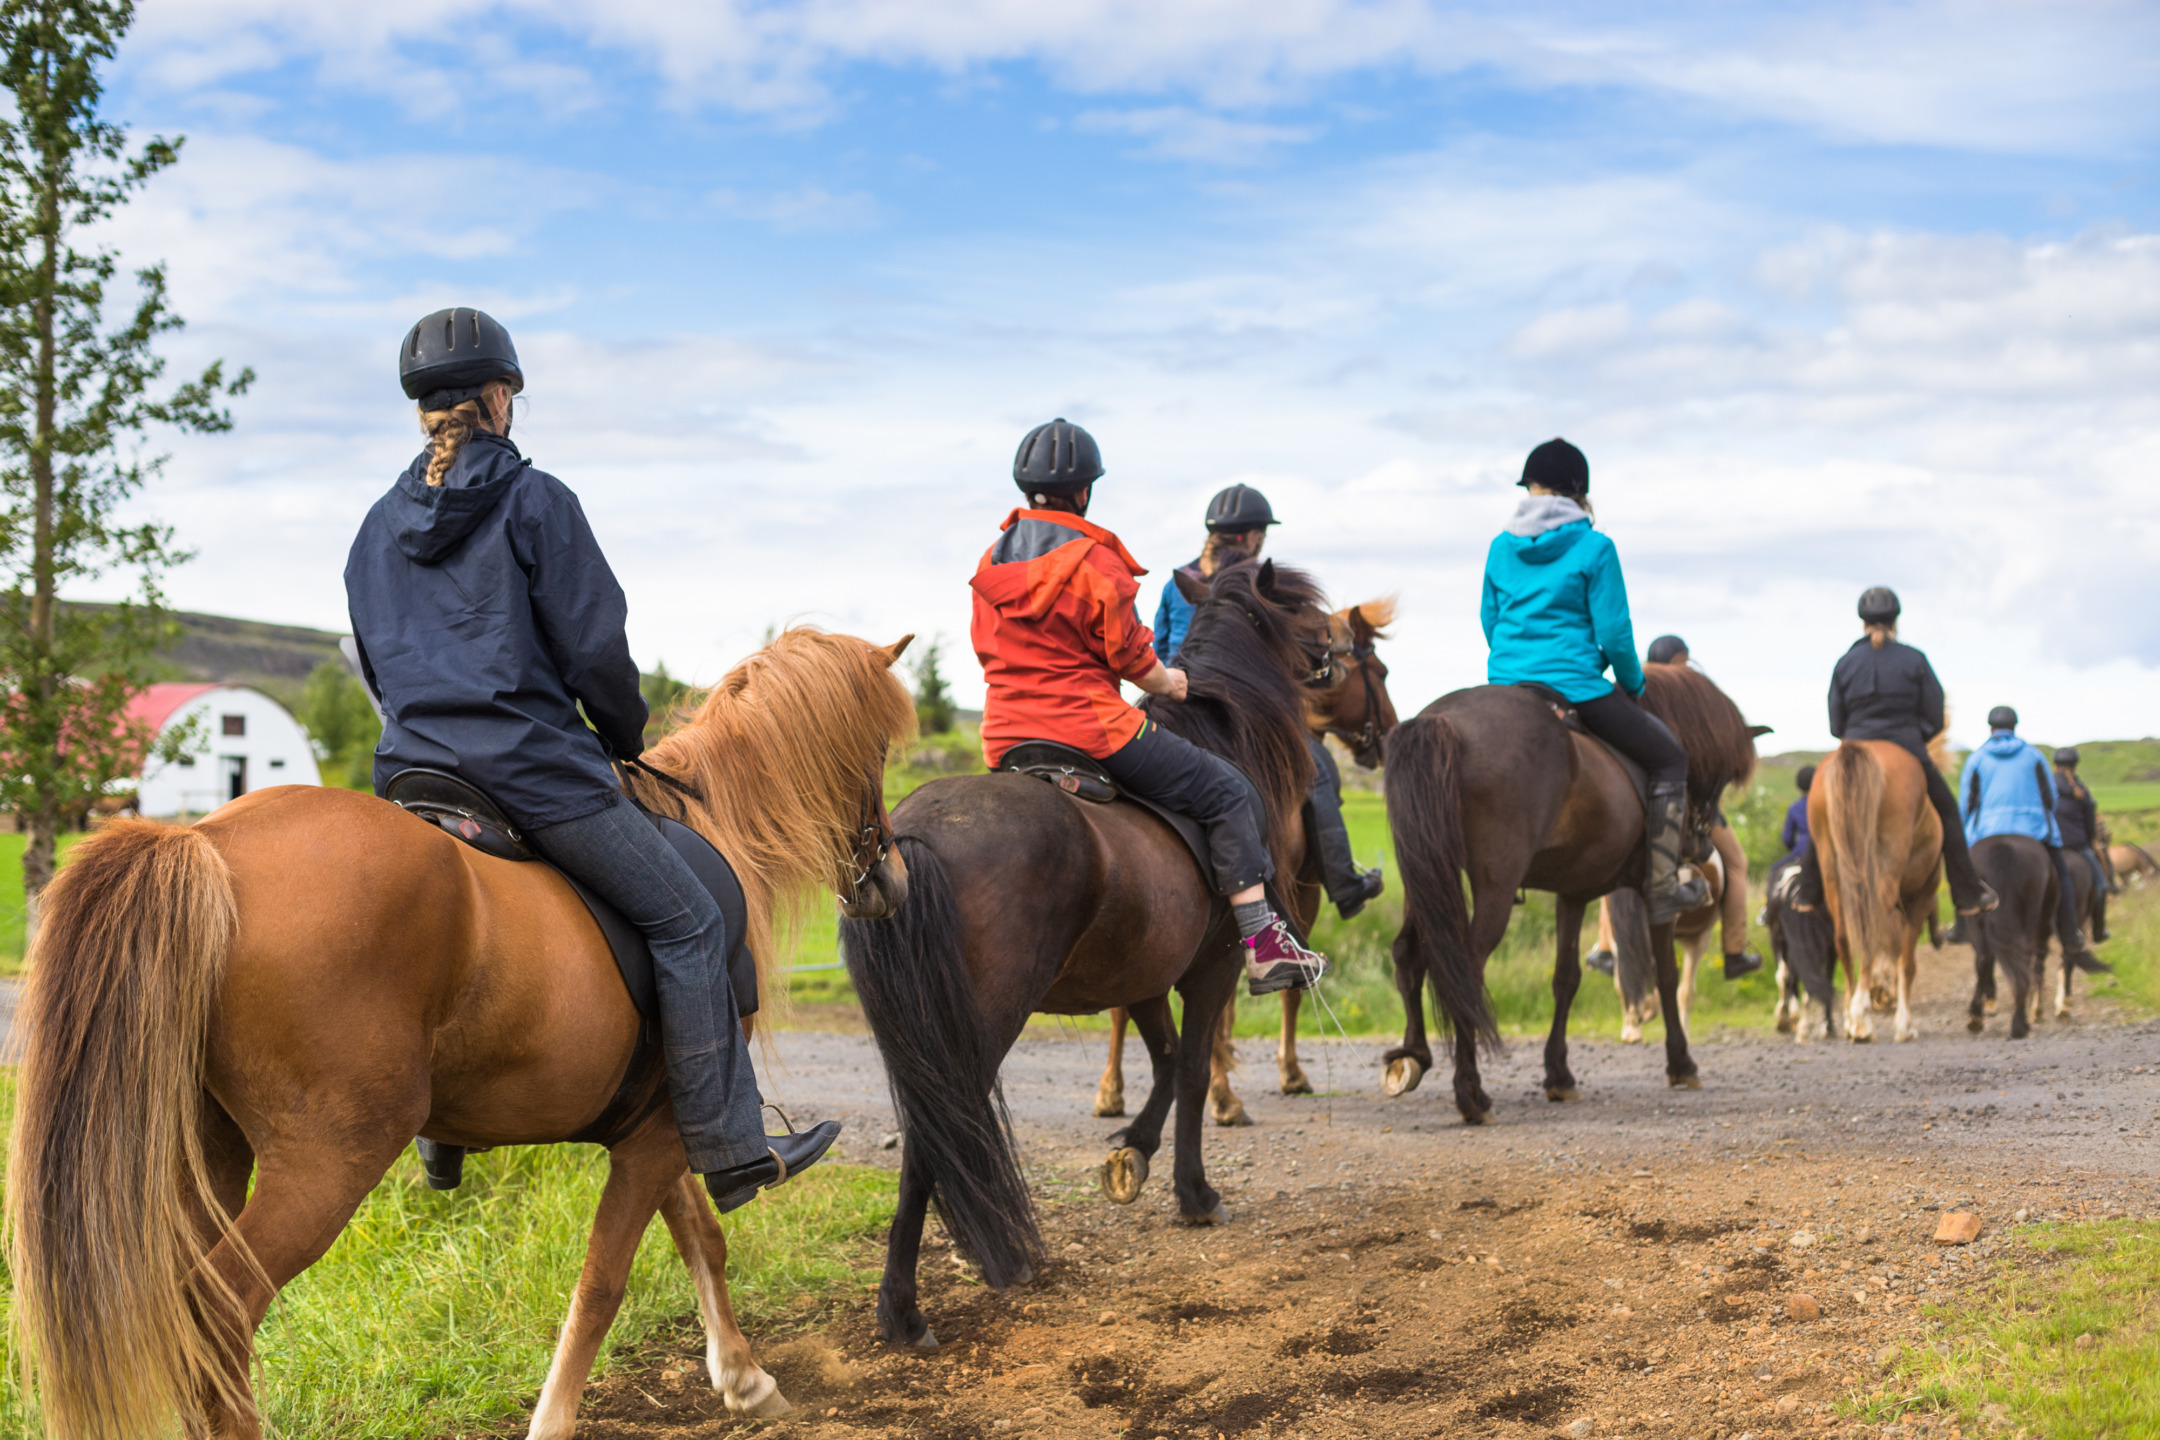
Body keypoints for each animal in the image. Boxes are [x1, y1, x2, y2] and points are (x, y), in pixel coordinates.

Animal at [5, 628, 918, 1440]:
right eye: (878, 749)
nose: (892, 879)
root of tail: (205, 841)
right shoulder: (667, 1125)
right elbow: (605, 1282)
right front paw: (556, 1421)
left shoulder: (653, 1122)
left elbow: (702, 1237)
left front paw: (745, 1379)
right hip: (327, 1161)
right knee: (220, 1313)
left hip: (205, 1148)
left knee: (183, 1320)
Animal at [839, 559, 1324, 1350]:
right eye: (1311, 617)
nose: (1336, 657)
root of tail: (911, 837)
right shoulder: (1213, 968)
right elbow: (1195, 1070)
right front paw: (1194, 1192)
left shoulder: (1146, 978)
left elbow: (1166, 1063)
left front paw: (1133, 1153)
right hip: (978, 1027)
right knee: (938, 1136)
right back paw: (907, 1310)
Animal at [1090, 597, 1399, 1125]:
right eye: (1377, 671)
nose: (1391, 733)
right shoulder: (1299, 890)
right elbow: (1289, 985)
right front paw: (1281, 1075)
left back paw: (1111, 1090)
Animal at [1380, 663, 1759, 1123]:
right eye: (1719, 778)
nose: (1701, 847)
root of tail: (1443, 720)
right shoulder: (1655, 896)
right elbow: (1666, 975)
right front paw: (1681, 1063)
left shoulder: (1573, 893)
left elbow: (1566, 978)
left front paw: (1559, 1074)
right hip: (1494, 887)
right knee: (1463, 969)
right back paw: (1471, 1093)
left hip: (1423, 874)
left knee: (1409, 954)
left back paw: (1413, 1056)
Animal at [1809, 740, 1941, 1043]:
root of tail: (1856, 749)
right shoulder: (1920, 899)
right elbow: (1906, 961)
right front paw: (1904, 1024)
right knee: (1870, 928)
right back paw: (1860, 1018)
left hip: (1832, 868)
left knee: (1845, 936)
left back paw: (1852, 1018)